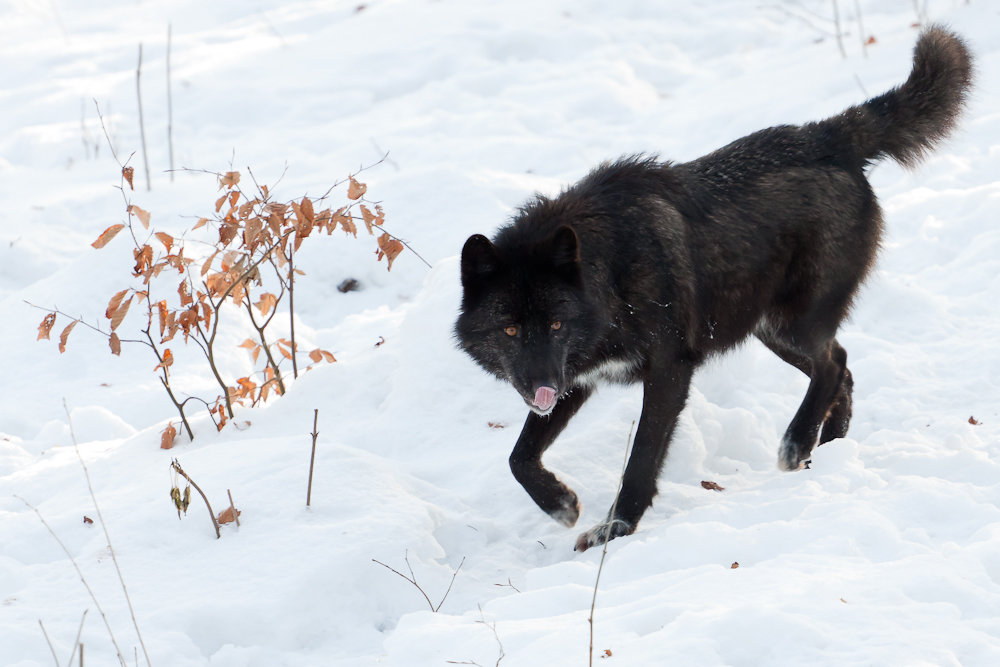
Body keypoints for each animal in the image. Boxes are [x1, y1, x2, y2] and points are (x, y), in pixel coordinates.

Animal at [458, 28, 972, 552]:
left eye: (557, 324)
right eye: (510, 330)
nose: (541, 386)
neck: (613, 272)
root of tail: (827, 136)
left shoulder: (668, 369)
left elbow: (641, 459)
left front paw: (616, 528)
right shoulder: (574, 377)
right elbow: (518, 457)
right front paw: (560, 503)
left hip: (788, 327)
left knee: (834, 365)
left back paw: (797, 444)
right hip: (769, 330)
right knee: (842, 368)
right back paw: (825, 451)